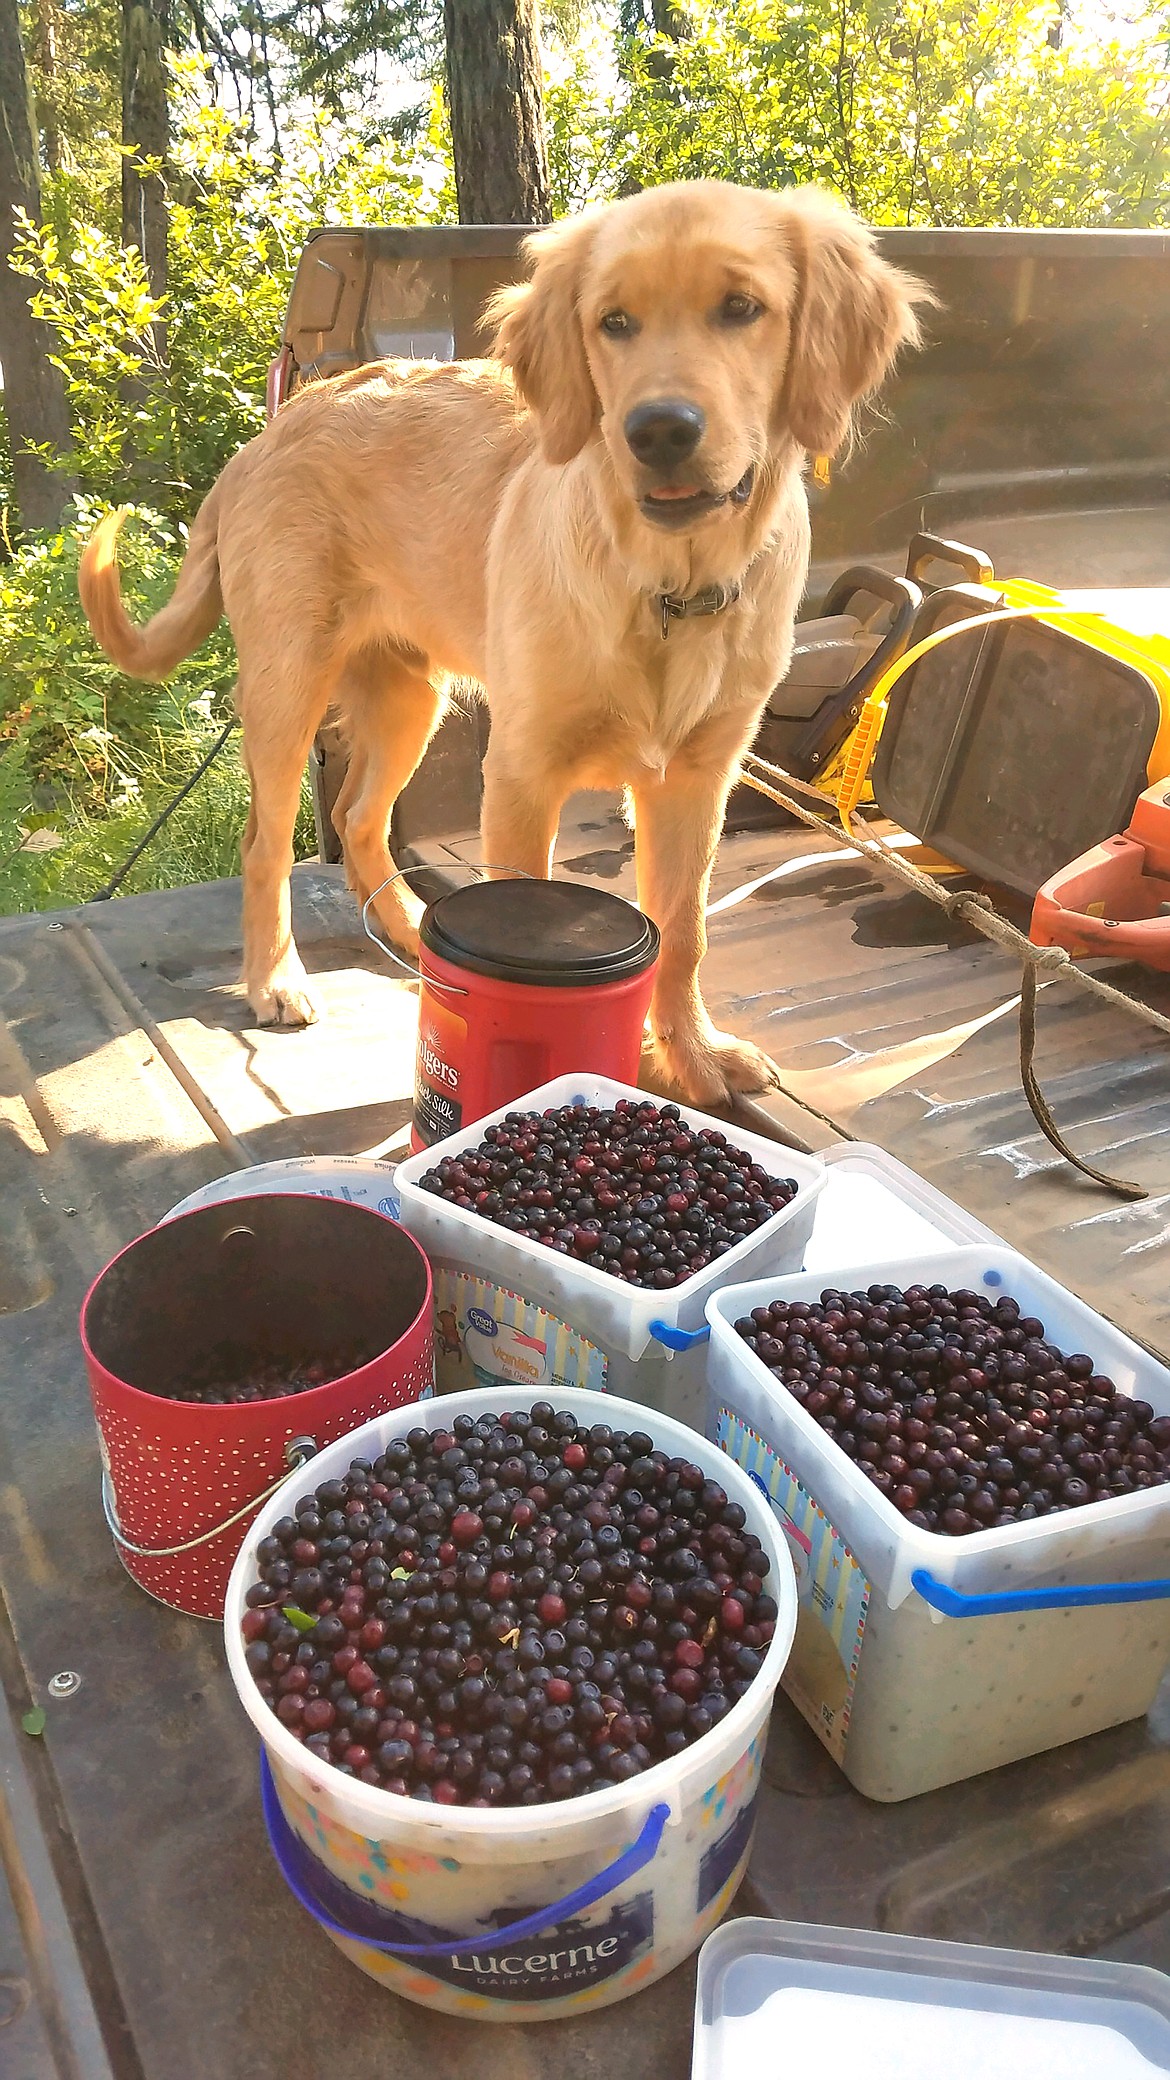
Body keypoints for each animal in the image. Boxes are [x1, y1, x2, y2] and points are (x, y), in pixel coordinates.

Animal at [77, 183, 924, 1106]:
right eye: (613, 322)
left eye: (742, 308)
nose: (659, 431)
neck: (664, 584)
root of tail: (273, 430)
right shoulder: (522, 774)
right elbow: (524, 915)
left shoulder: (698, 779)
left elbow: (685, 930)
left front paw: (691, 1056)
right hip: (287, 685)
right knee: (266, 844)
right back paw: (276, 979)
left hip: (410, 697)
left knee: (356, 816)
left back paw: (413, 932)